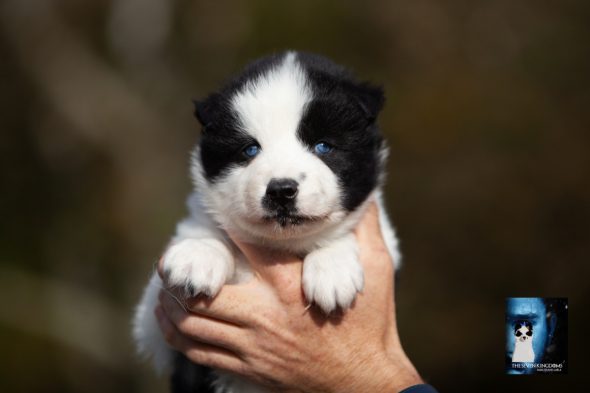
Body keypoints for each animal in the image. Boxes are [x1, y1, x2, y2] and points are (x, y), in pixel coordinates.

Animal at [134, 52, 402, 392]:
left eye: (323, 146)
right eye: (250, 149)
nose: (281, 190)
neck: (282, 246)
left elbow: (340, 234)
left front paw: (332, 270)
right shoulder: (157, 326)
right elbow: (208, 237)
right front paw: (198, 256)